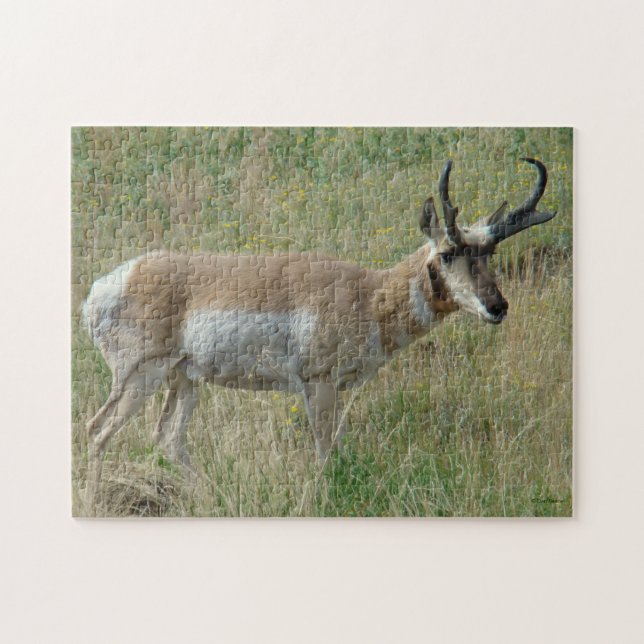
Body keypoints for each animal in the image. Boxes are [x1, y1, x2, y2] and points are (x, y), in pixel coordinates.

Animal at [82, 158, 556, 499]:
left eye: (489, 254)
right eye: (447, 253)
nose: (497, 307)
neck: (368, 293)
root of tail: (108, 285)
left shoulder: (337, 389)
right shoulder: (319, 383)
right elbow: (325, 452)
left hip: (184, 380)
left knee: (166, 439)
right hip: (140, 376)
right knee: (98, 429)